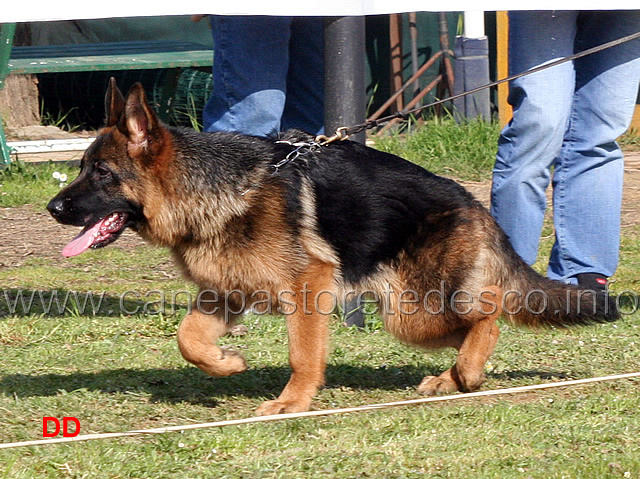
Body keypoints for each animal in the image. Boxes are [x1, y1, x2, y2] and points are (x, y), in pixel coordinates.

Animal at [47, 81, 616, 416]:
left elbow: (303, 354)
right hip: (408, 316)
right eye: (80, 168)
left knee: (491, 312)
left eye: (102, 173)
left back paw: (467, 374)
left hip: (414, 312)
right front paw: (229, 363)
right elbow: (189, 340)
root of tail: (473, 204)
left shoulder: (308, 289)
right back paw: (451, 378)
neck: (209, 189)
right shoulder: (225, 294)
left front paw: (292, 402)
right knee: (477, 322)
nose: (53, 208)